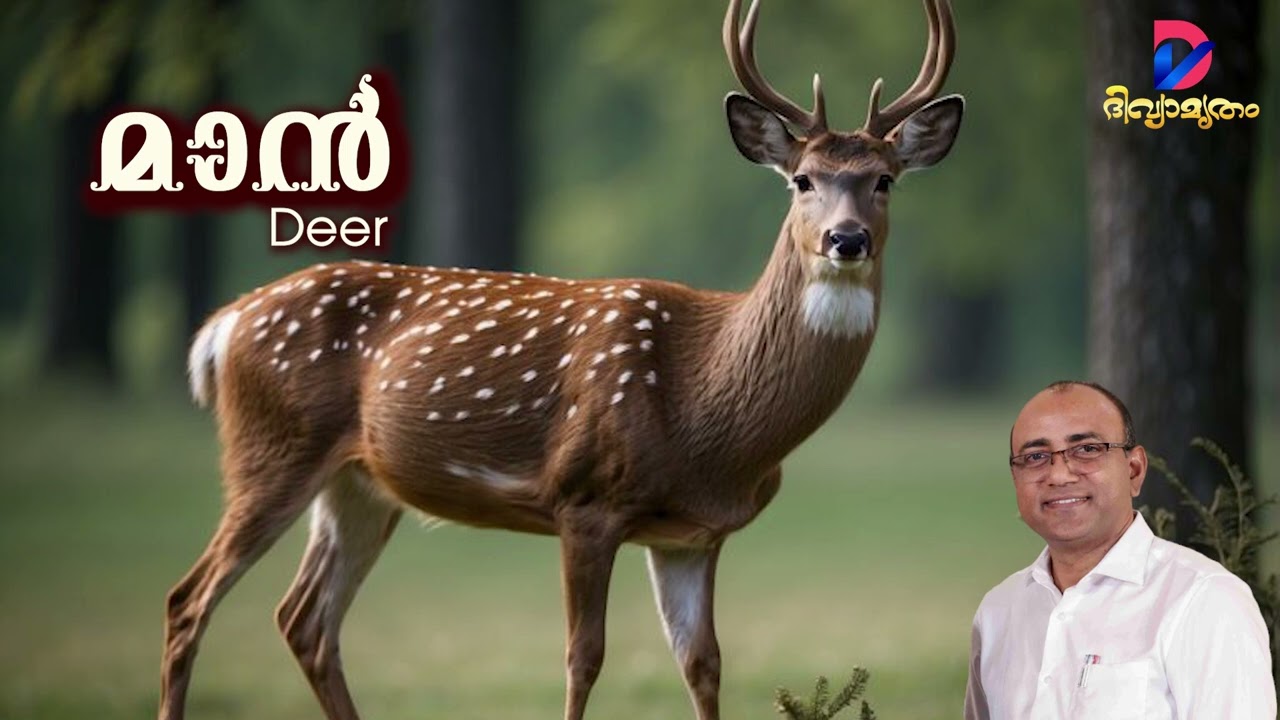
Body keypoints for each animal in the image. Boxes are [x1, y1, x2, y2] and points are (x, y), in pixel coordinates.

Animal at [163, 0, 961, 718]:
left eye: (885, 179)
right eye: (802, 180)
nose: (846, 239)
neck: (706, 407)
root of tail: (222, 327)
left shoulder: (692, 535)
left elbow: (702, 664)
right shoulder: (584, 497)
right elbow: (584, 657)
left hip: (359, 484)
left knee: (305, 621)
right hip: (272, 448)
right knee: (188, 600)